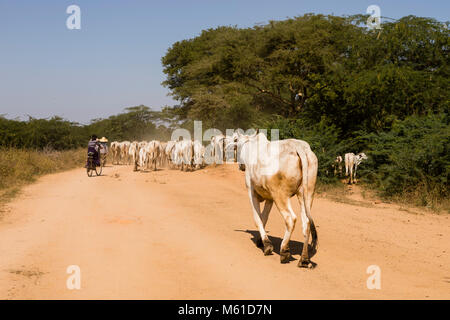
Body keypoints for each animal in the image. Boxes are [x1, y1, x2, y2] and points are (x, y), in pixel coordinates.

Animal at [234, 130, 318, 268]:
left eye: (237, 145)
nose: (241, 166)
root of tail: (299, 147)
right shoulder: (270, 198)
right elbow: (264, 218)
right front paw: (261, 241)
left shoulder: (252, 192)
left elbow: (258, 219)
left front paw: (267, 245)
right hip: (307, 194)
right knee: (306, 222)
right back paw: (304, 259)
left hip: (281, 195)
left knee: (290, 219)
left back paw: (284, 251)